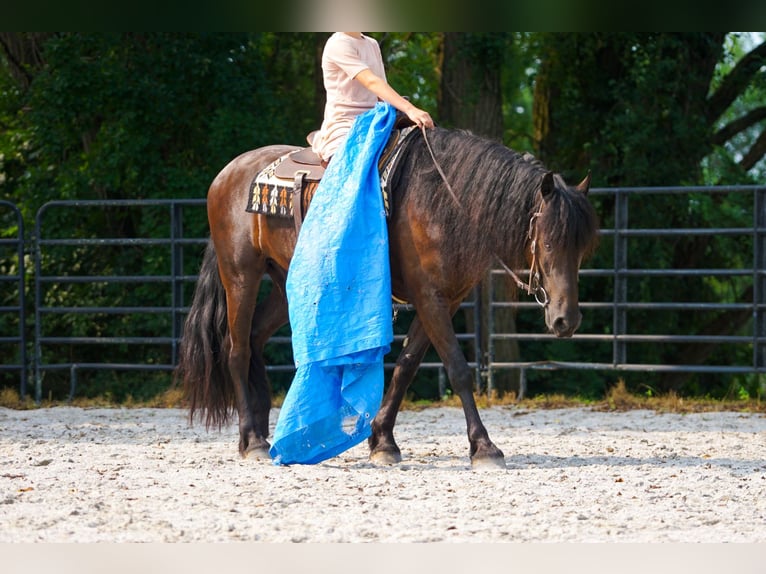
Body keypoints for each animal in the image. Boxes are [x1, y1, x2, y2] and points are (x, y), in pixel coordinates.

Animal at [176, 126, 599, 469]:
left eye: (583, 248)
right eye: (548, 242)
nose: (567, 320)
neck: (442, 201)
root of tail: (227, 173)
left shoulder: (444, 300)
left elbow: (407, 366)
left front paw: (383, 441)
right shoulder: (429, 297)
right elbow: (458, 369)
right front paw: (484, 447)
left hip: (283, 287)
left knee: (254, 339)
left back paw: (269, 434)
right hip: (240, 276)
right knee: (236, 350)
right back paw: (252, 441)